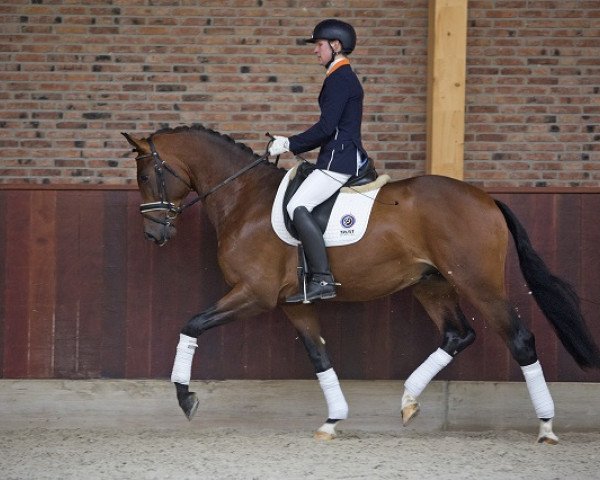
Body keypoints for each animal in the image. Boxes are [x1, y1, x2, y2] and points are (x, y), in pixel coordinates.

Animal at [122, 125, 600, 444]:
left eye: (145, 176)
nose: (153, 234)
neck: (245, 198)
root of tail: (486, 199)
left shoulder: (253, 295)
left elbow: (191, 325)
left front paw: (185, 398)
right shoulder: (294, 303)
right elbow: (319, 356)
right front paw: (333, 419)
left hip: (477, 282)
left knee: (519, 339)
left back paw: (546, 426)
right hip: (432, 284)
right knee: (457, 335)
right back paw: (408, 400)